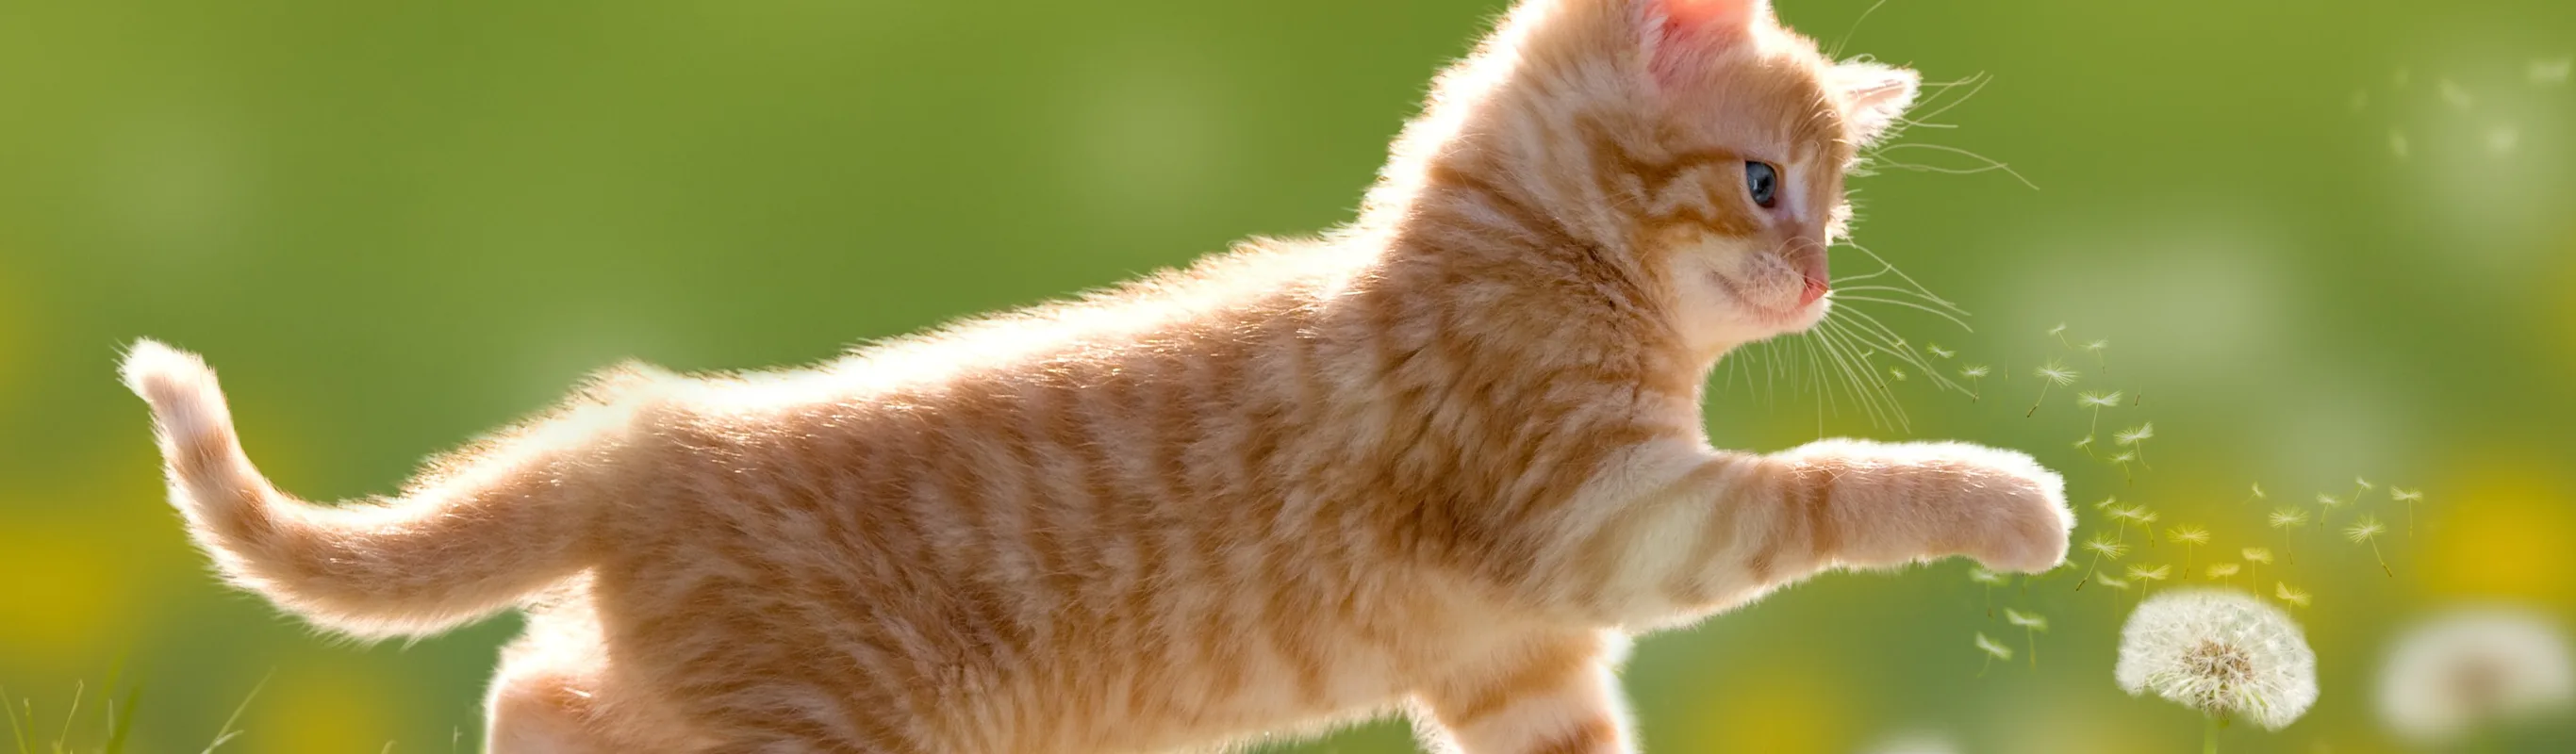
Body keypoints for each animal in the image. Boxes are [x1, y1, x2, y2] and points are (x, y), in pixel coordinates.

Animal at [121, 1, 2071, 751]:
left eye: (1829, 202)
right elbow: (1830, 488)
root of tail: (645, 429)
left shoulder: (1515, 659)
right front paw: (2005, 502)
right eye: (1764, 184)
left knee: (536, 682)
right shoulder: (1598, 520)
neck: (1539, 260)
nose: (1814, 278)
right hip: (828, 730)